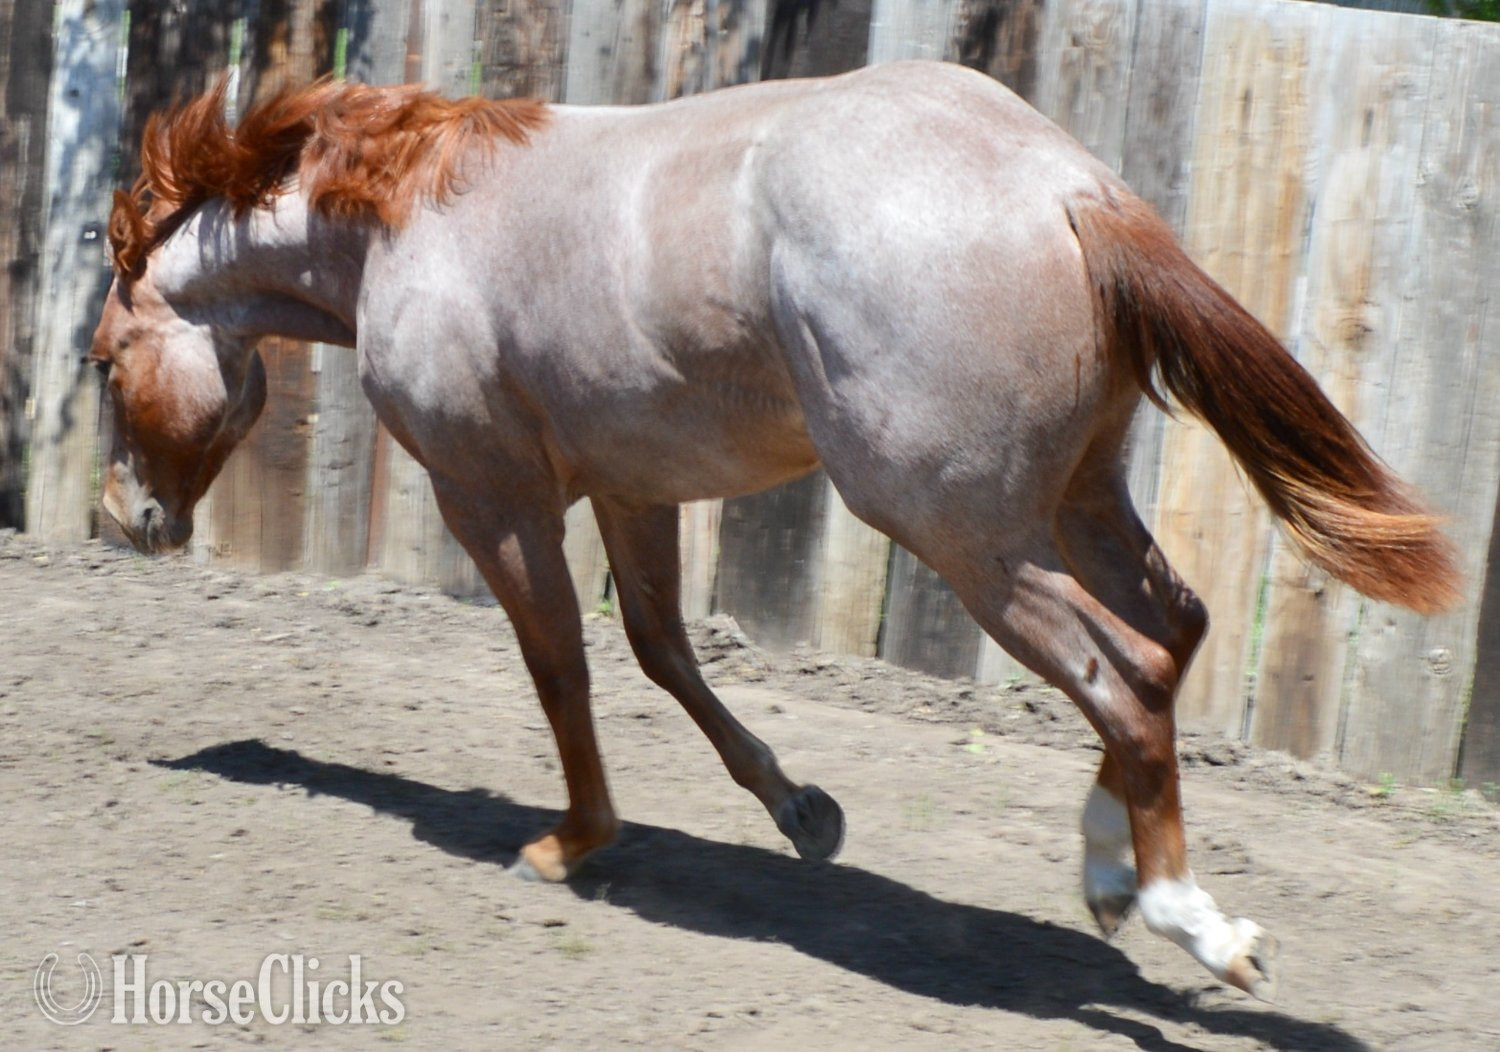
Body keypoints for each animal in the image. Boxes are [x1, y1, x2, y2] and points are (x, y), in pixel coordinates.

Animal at [93, 60, 1458, 1001]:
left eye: (107, 356)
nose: (121, 519)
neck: (413, 224)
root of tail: (1070, 187)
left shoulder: (494, 493)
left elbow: (559, 663)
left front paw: (571, 841)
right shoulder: (632, 484)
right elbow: (659, 649)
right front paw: (802, 809)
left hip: (965, 532)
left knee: (1124, 676)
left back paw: (1194, 920)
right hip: (1077, 498)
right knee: (1172, 636)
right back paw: (1108, 877)